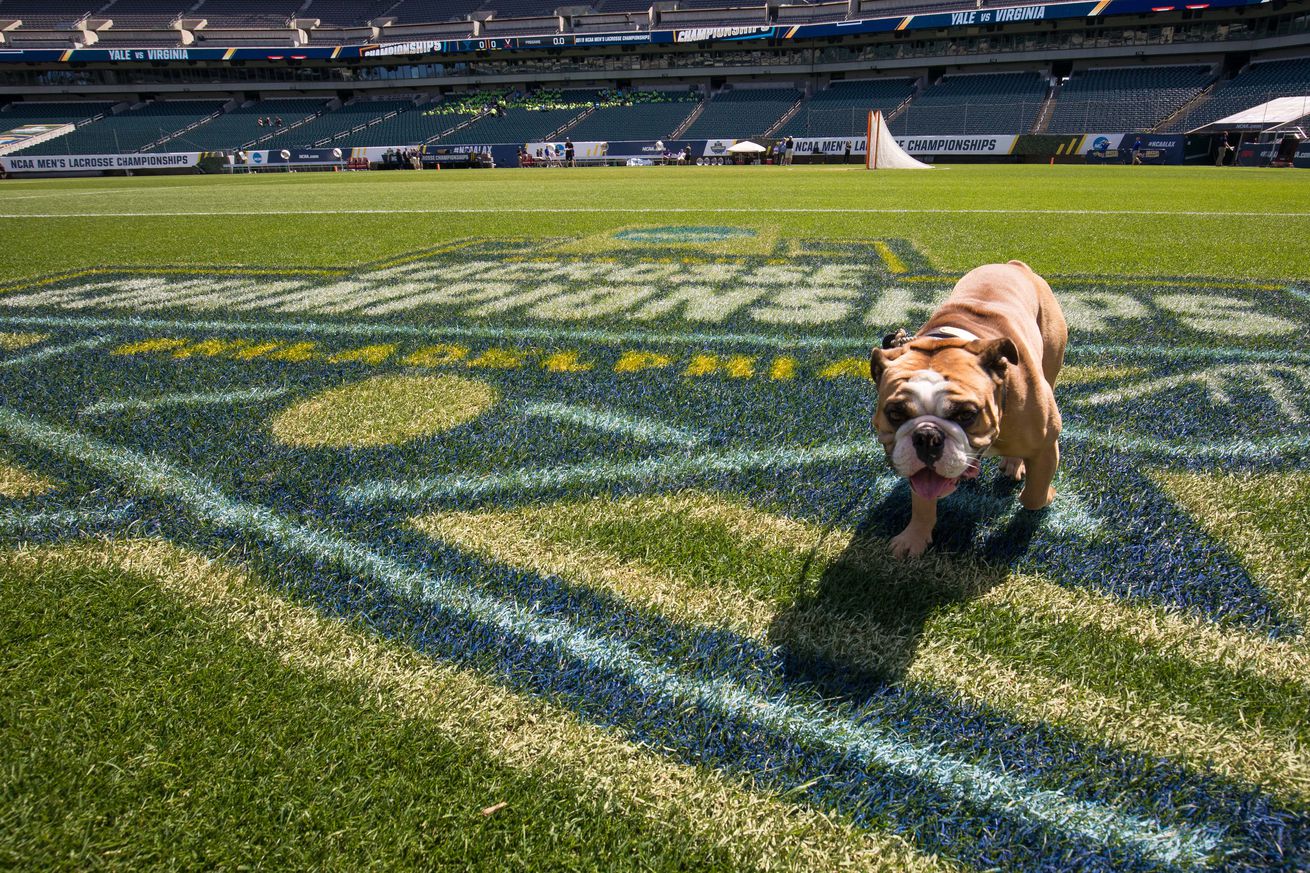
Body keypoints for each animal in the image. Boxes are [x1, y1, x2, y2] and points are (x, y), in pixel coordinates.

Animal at [869, 259, 1063, 558]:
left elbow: (1033, 496)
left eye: (966, 415)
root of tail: (1013, 264)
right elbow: (922, 501)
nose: (927, 437)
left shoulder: (1045, 446)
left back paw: (1013, 462)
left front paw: (1045, 495)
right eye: (896, 414)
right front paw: (915, 537)